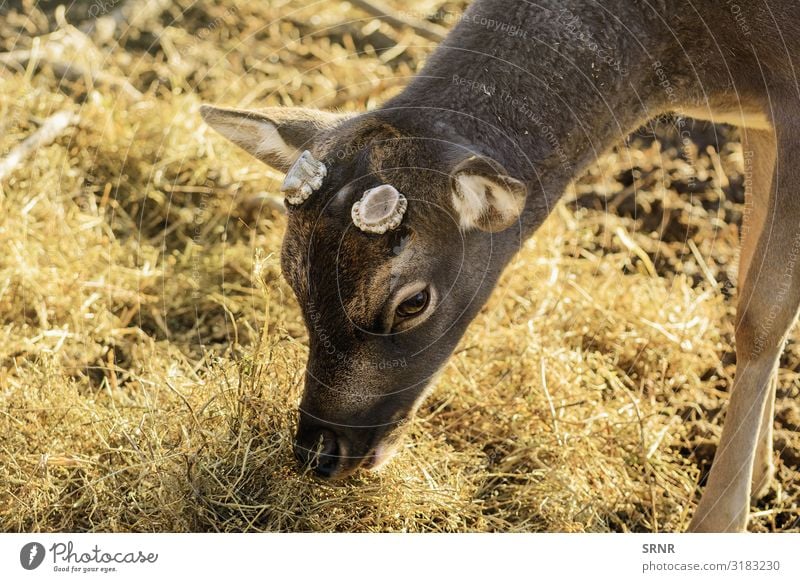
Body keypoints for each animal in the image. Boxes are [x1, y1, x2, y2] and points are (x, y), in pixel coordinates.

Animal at [202, 0, 800, 532]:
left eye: (413, 302)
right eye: (292, 277)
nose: (320, 452)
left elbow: (761, 316)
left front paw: (720, 520)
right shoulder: (760, 117)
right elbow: (752, 290)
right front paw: (762, 474)